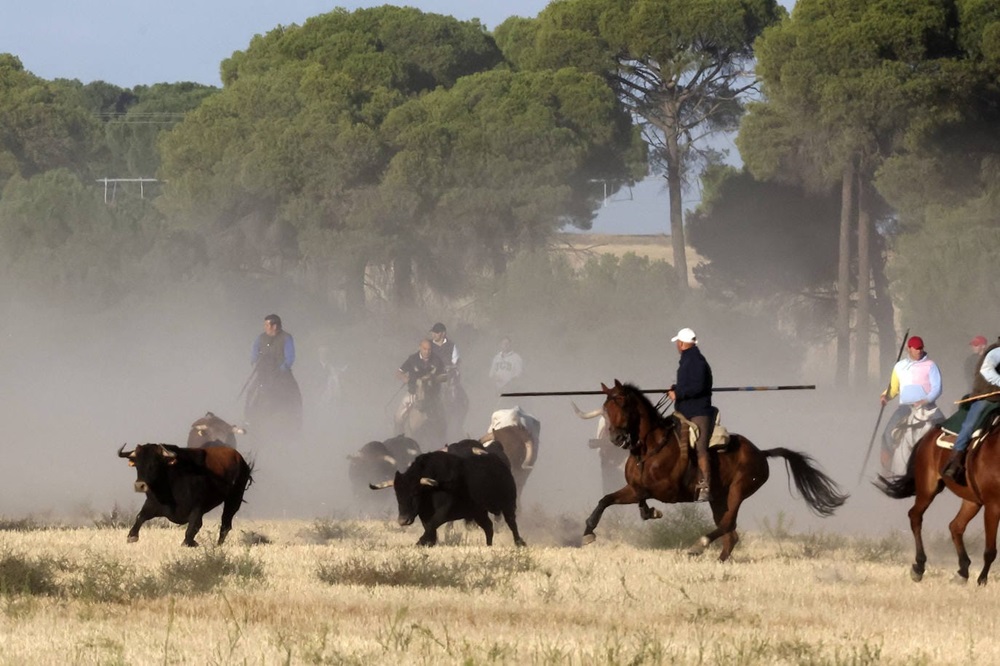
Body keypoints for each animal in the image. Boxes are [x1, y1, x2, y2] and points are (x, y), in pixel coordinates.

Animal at [116, 440, 254, 544]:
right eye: (137, 464)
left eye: (155, 463)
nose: (139, 485)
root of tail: (241, 461)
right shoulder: (152, 504)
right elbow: (140, 516)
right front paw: (132, 536)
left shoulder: (197, 508)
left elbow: (192, 528)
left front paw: (189, 543)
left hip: (234, 499)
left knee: (225, 524)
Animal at [584, 378, 848, 560]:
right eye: (606, 407)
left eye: (623, 404)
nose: (617, 438)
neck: (651, 447)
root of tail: (760, 453)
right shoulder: (633, 487)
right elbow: (606, 500)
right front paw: (588, 531)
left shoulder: (661, 490)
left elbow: (639, 497)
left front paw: (650, 512)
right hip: (718, 498)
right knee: (731, 534)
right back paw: (718, 560)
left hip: (738, 491)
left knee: (728, 525)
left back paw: (698, 545)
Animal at [872, 422, 1000, 584]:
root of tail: (930, 434)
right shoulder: (993, 505)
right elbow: (990, 550)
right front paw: (982, 580)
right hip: (928, 489)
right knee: (915, 516)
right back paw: (919, 566)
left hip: (972, 501)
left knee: (956, 526)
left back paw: (963, 570)